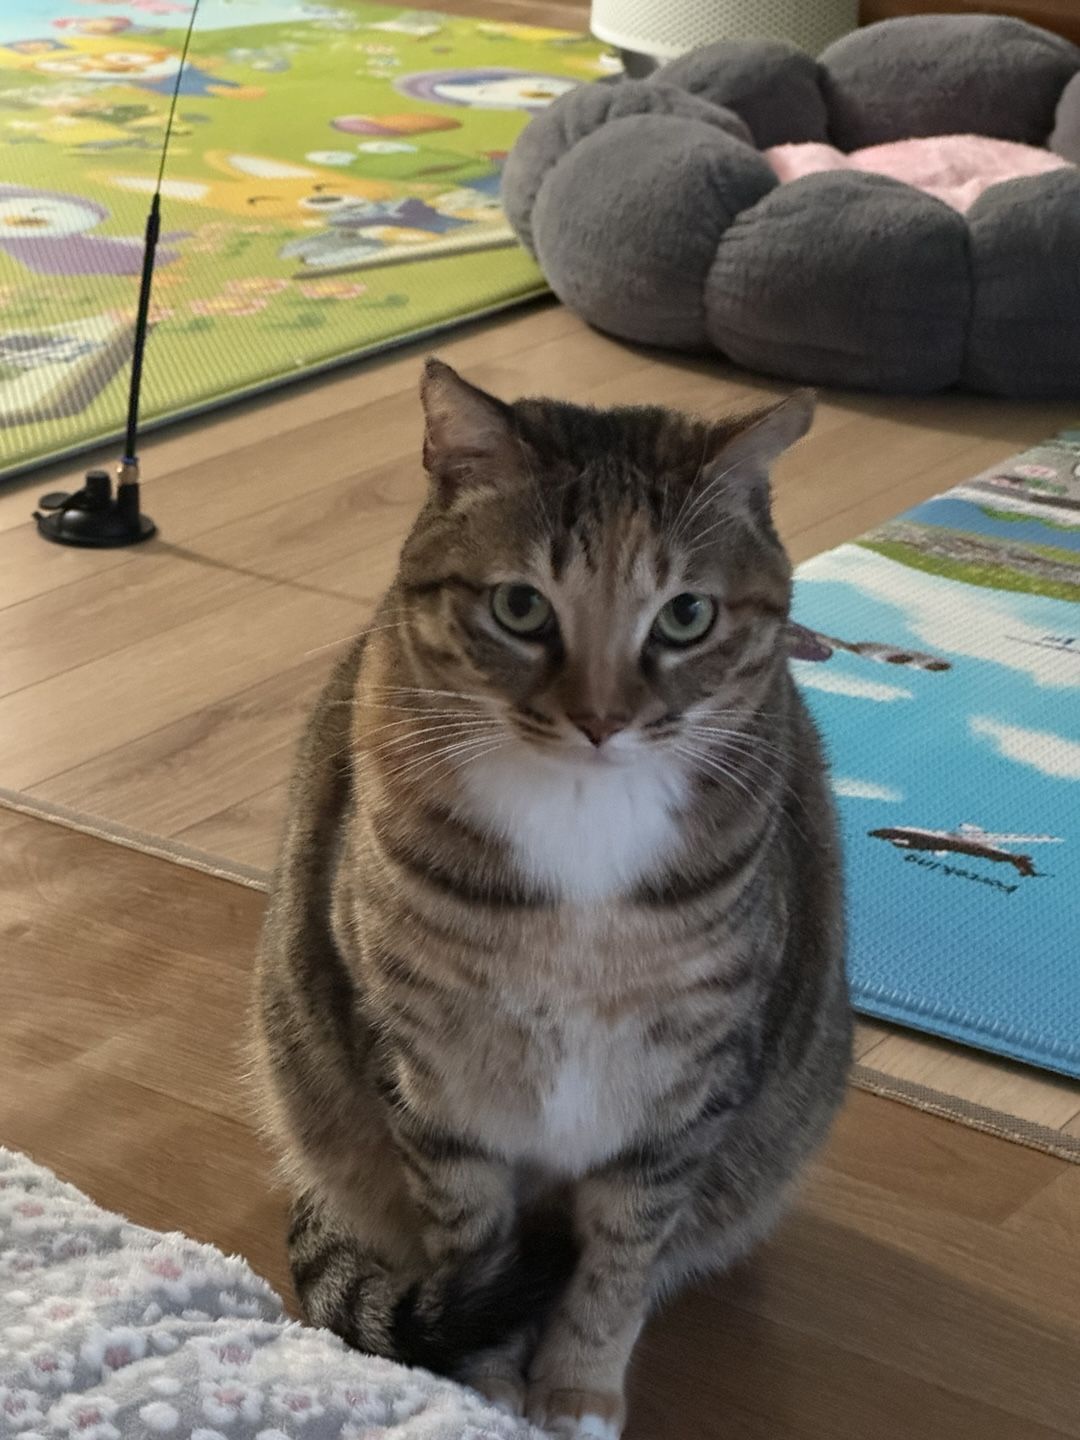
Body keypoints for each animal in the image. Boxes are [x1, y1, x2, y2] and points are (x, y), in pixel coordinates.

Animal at [251, 361, 851, 1439]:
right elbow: (472, 1235)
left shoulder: (687, 1085)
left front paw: (575, 1393)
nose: (601, 719)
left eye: (687, 616)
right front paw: (484, 1393)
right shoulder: (429, 1072)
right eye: (522, 607)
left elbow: (618, 1260)